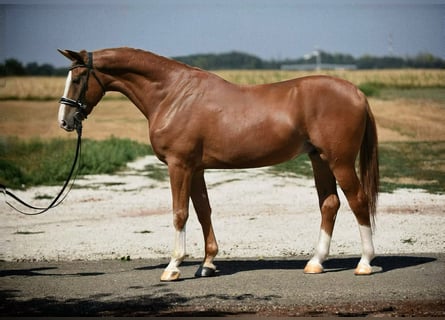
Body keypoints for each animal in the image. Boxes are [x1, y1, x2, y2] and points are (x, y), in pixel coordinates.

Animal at [58, 47, 378, 280]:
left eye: (78, 78)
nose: (65, 121)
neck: (173, 95)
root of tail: (357, 92)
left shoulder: (179, 166)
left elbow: (180, 213)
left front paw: (173, 267)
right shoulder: (196, 169)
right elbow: (203, 212)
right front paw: (208, 263)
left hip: (340, 161)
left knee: (358, 201)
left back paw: (364, 263)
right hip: (319, 159)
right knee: (330, 204)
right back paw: (315, 262)